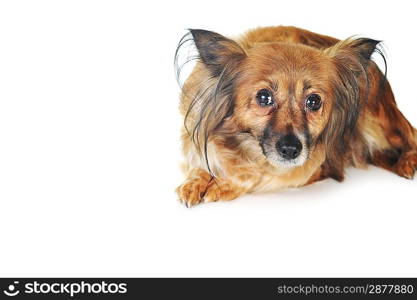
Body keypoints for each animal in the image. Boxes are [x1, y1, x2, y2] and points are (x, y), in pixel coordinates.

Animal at [175, 25, 416, 206]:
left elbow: (255, 176)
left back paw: (407, 162)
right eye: (264, 97)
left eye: (314, 101)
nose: (291, 150)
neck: (244, 148)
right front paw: (196, 181)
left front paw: (222, 185)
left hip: (376, 121)